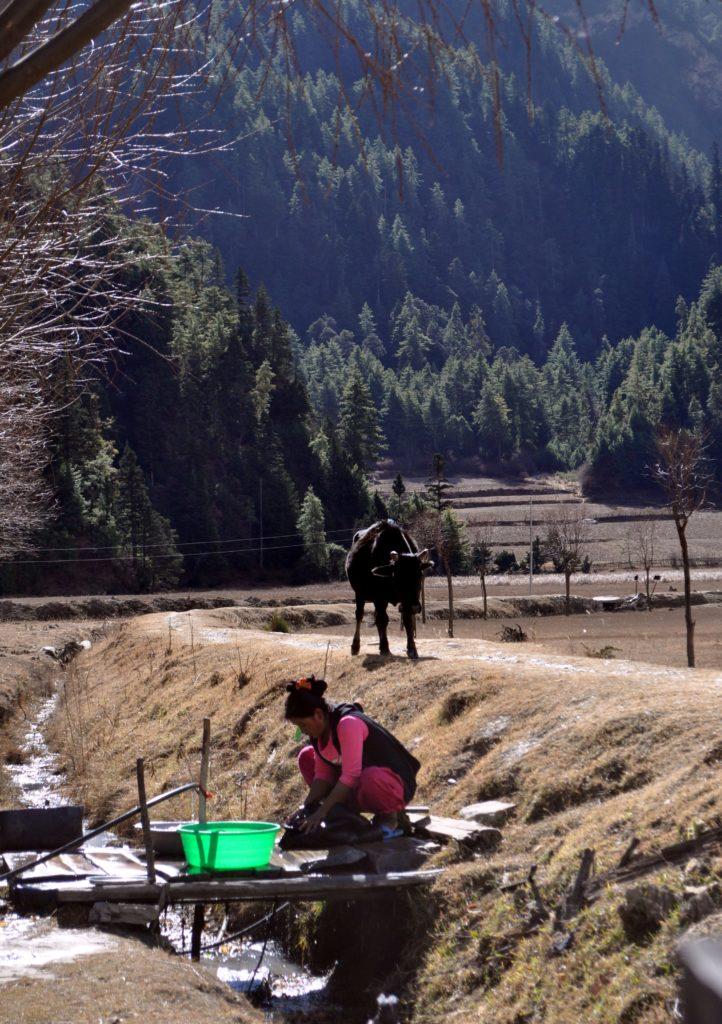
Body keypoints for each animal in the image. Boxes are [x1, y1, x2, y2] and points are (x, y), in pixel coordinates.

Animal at [344, 520, 430, 655]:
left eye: (420, 575)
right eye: (398, 576)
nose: (415, 607)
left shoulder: (407, 601)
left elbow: (407, 621)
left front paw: (412, 648)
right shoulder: (379, 598)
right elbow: (383, 619)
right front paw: (385, 647)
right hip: (359, 594)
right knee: (360, 615)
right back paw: (355, 646)